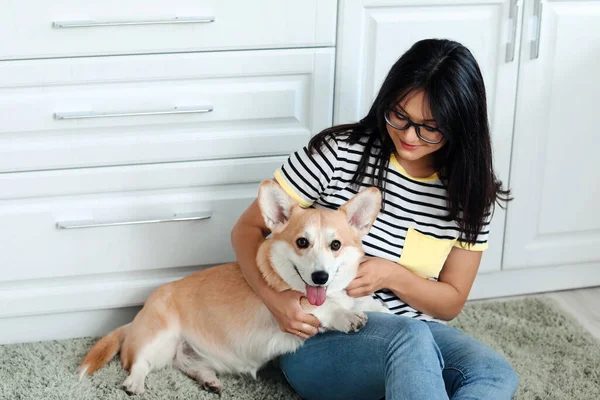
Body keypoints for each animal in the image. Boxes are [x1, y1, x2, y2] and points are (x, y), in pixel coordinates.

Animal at [78, 180, 390, 396]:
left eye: (336, 245)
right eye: (302, 242)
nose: (320, 277)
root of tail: (134, 321)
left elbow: (362, 302)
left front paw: (376, 307)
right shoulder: (290, 307)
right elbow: (324, 306)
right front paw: (346, 316)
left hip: (183, 352)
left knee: (188, 365)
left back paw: (209, 381)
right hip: (159, 339)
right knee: (138, 363)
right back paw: (134, 384)